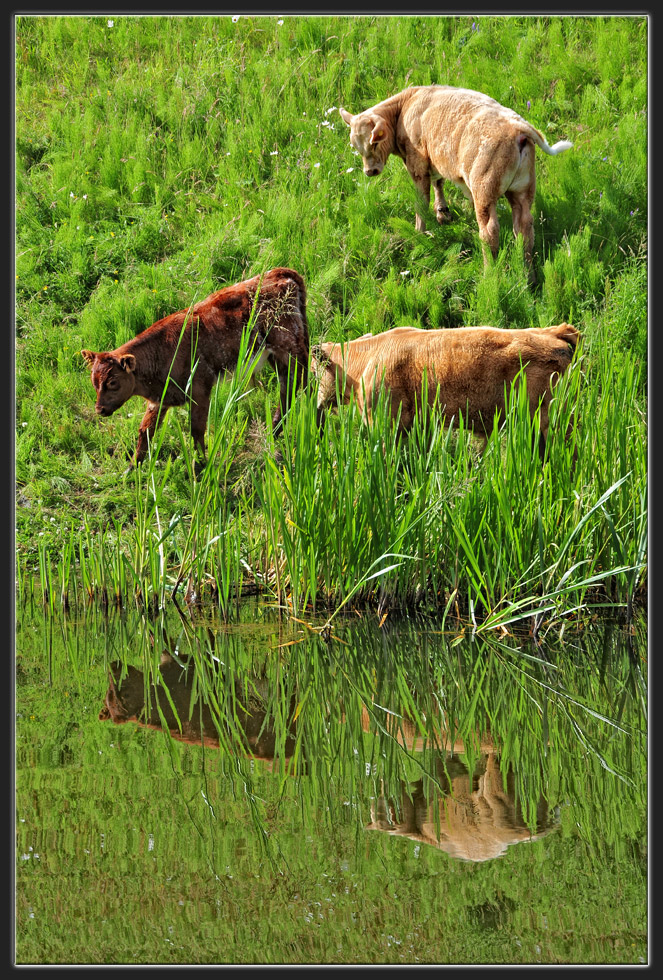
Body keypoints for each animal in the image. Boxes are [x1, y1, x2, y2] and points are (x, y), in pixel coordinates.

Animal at [81, 268, 310, 468]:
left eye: (113, 382)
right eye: (93, 382)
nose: (99, 409)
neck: (162, 351)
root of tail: (279, 272)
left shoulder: (199, 390)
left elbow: (197, 430)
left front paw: (199, 467)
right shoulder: (159, 399)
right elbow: (145, 431)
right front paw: (132, 467)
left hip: (288, 348)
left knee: (295, 384)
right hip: (277, 355)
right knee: (290, 387)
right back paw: (278, 430)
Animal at [340, 84, 572, 266]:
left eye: (374, 143)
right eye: (355, 146)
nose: (370, 171)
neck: (405, 107)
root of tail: (518, 126)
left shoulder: (417, 164)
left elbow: (421, 203)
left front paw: (419, 234)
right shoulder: (437, 161)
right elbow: (439, 183)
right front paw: (443, 212)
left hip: (484, 191)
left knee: (489, 231)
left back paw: (490, 274)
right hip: (522, 190)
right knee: (524, 228)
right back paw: (528, 276)